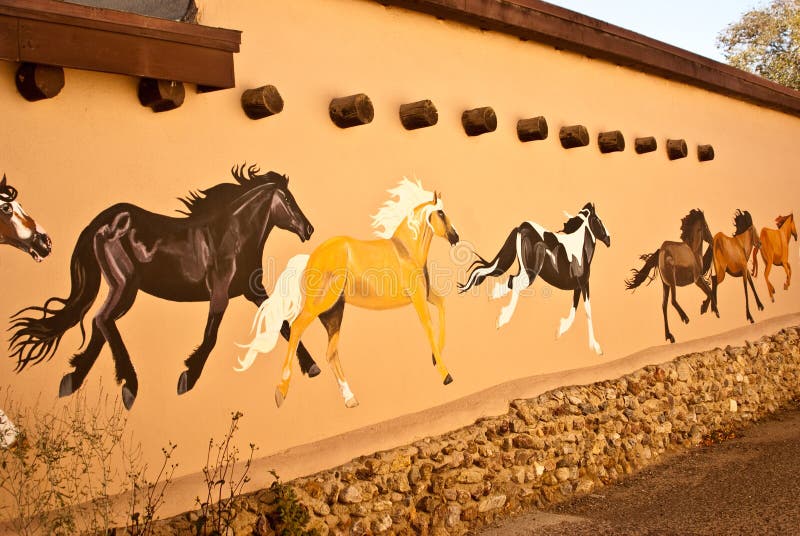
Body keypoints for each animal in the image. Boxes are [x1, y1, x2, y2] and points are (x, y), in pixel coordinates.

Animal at [460, 203, 608, 354]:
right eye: (598, 220)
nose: (609, 239)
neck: (580, 250)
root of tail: (522, 227)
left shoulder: (577, 286)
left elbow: (575, 307)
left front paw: (560, 330)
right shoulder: (584, 284)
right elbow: (587, 310)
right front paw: (595, 347)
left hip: (524, 269)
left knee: (510, 280)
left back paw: (494, 296)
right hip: (530, 272)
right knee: (514, 282)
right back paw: (502, 319)